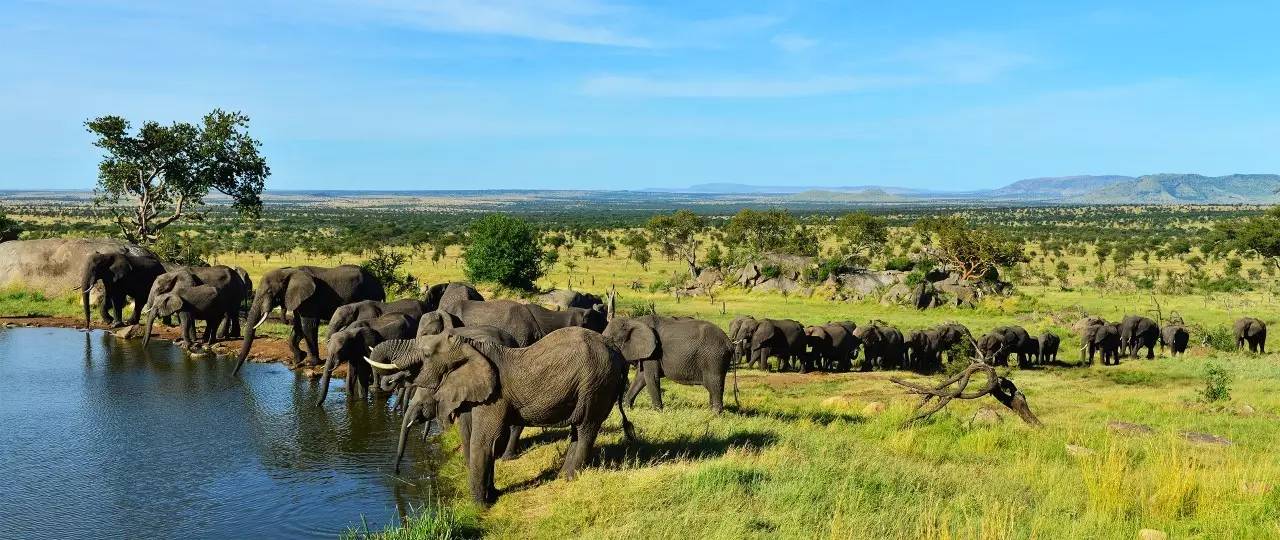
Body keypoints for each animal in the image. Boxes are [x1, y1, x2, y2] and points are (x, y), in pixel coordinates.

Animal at [234, 263, 384, 373]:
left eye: (269, 292)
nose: (234, 374)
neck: (289, 271)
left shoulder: (310, 299)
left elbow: (308, 325)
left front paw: (310, 362)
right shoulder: (298, 298)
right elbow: (298, 327)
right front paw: (298, 358)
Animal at [366, 330, 634, 506]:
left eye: (425, 353)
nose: (397, 474)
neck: (472, 346)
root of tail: (619, 354)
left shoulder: (495, 397)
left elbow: (484, 441)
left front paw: (479, 507)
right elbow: (485, 443)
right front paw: (492, 496)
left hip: (596, 384)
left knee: (586, 427)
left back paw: (569, 478)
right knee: (578, 430)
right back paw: (561, 476)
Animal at [606, 312, 737, 414]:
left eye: (612, 341)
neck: (633, 321)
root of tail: (730, 344)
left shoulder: (654, 352)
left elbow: (650, 377)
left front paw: (658, 412)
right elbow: (641, 378)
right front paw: (626, 408)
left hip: (714, 358)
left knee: (714, 384)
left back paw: (715, 414)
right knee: (712, 386)